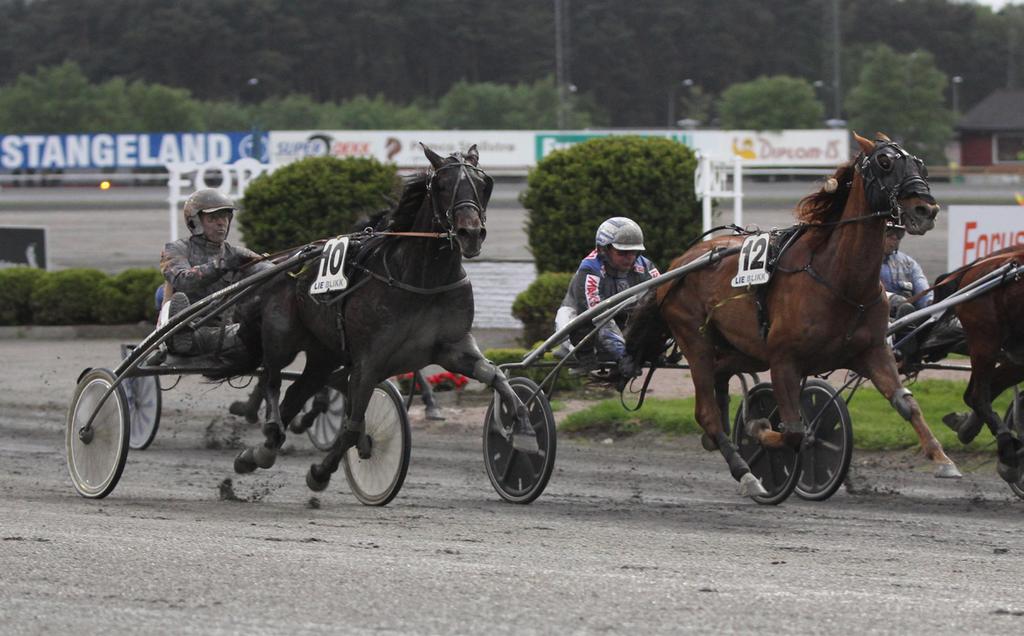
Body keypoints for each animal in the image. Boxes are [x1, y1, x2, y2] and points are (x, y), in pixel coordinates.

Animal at [222, 143, 536, 485]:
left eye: (483, 184)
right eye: (442, 185)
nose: (470, 233)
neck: (422, 280)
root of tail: (287, 261)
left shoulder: (452, 347)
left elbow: (495, 376)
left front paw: (523, 426)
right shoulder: (368, 362)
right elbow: (352, 425)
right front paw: (321, 471)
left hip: (324, 352)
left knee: (295, 391)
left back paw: (261, 450)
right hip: (283, 335)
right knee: (271, 378)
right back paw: (266, 435)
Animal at [618, 131, 962, 493]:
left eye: (920, 164)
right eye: (884, 162)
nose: (926, 209)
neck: (839, 280)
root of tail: (679, 264)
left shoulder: (872, 351)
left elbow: (906, 403)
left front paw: (942, 459)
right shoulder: (784, 360)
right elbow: (795, 432)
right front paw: (757, 431)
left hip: (743, 349)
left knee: (720, 376)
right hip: (695, 338)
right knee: (706, 411)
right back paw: (745, 472)